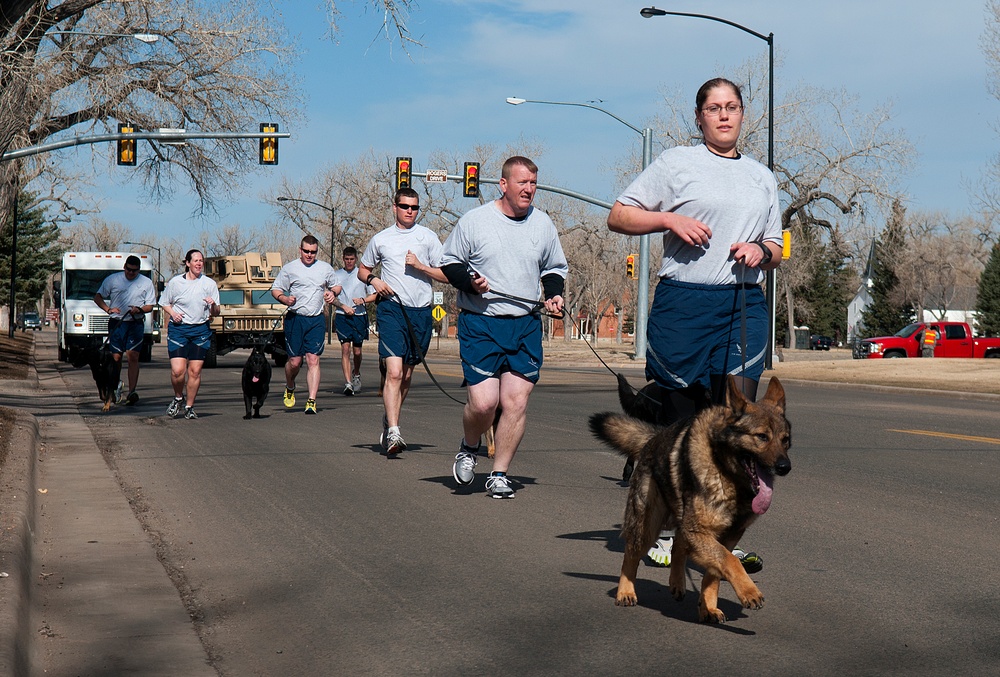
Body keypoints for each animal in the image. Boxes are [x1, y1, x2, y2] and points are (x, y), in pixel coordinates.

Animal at [588, 374, 792, 624]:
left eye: (785, 440)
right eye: (762, 437)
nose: (785, 467)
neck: (727, 473)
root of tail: (654, 437)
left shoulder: (726, 537)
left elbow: (715, 572)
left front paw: (708, 607)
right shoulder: (700, 532)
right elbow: (729, 561)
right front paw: (749, 591)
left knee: (678, 546)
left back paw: (677, 582)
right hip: (648, 525)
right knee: (631, 554)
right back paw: (625, 592)